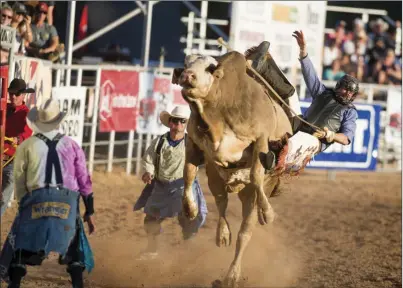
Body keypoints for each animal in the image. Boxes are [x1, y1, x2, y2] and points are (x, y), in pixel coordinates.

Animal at [173, 50, 294, 286]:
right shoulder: (194, 142)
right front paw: (189, 209)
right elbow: (188, 173)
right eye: (186, 63)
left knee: (245, 232)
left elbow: (256, 175)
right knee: (221, 202)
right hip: (216, 177)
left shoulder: (261, 140)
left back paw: (232, 275)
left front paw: (268, 213)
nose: (187, 75)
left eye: (210, 67)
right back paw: (222, 235)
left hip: (256, 192)